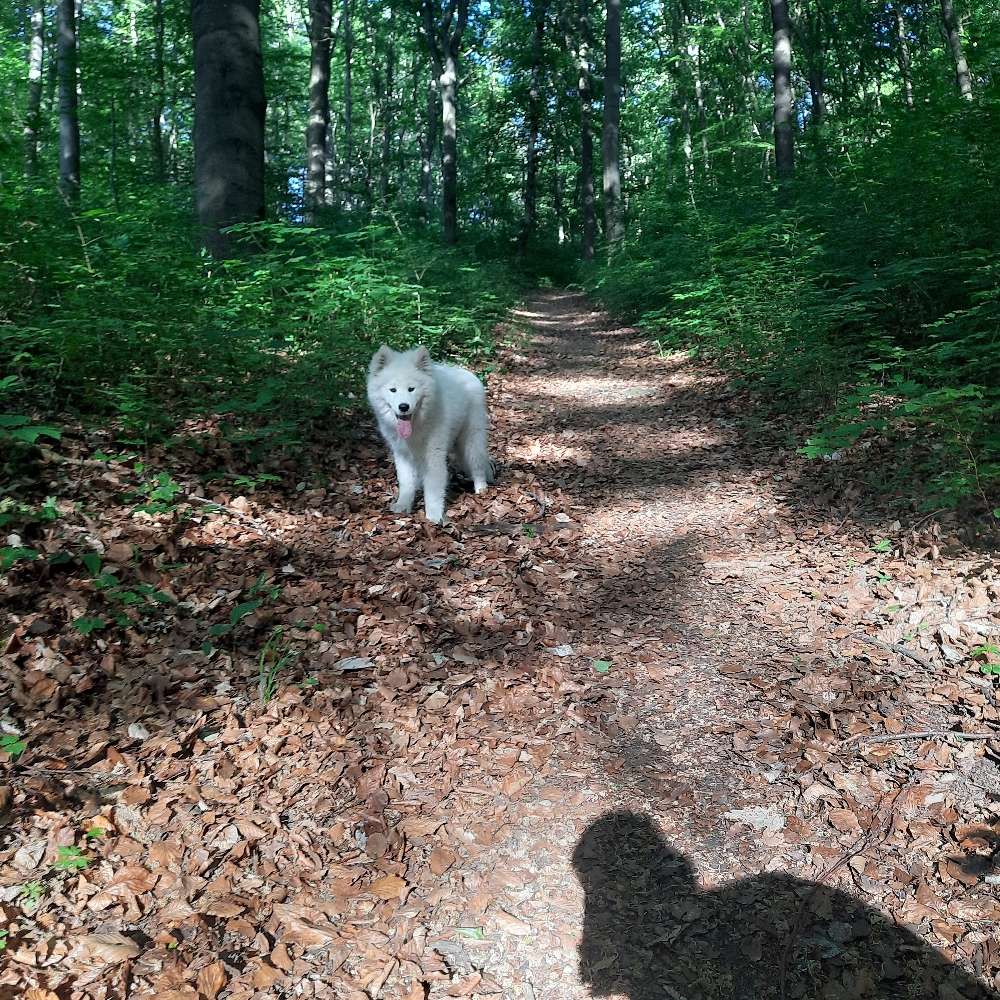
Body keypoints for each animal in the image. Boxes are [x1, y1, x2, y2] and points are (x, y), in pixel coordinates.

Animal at [366, 346, 494, 524]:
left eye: (411, 389)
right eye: (393, 390)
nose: (403, 406)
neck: (417, 424)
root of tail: (469, 374)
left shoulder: (434, 453)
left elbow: (433, 486)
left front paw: (434, 515)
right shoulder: (402, 454)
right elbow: (406, 481)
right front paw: (403, 504)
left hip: (471, 439)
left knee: (477, 464)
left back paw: (481, 487)